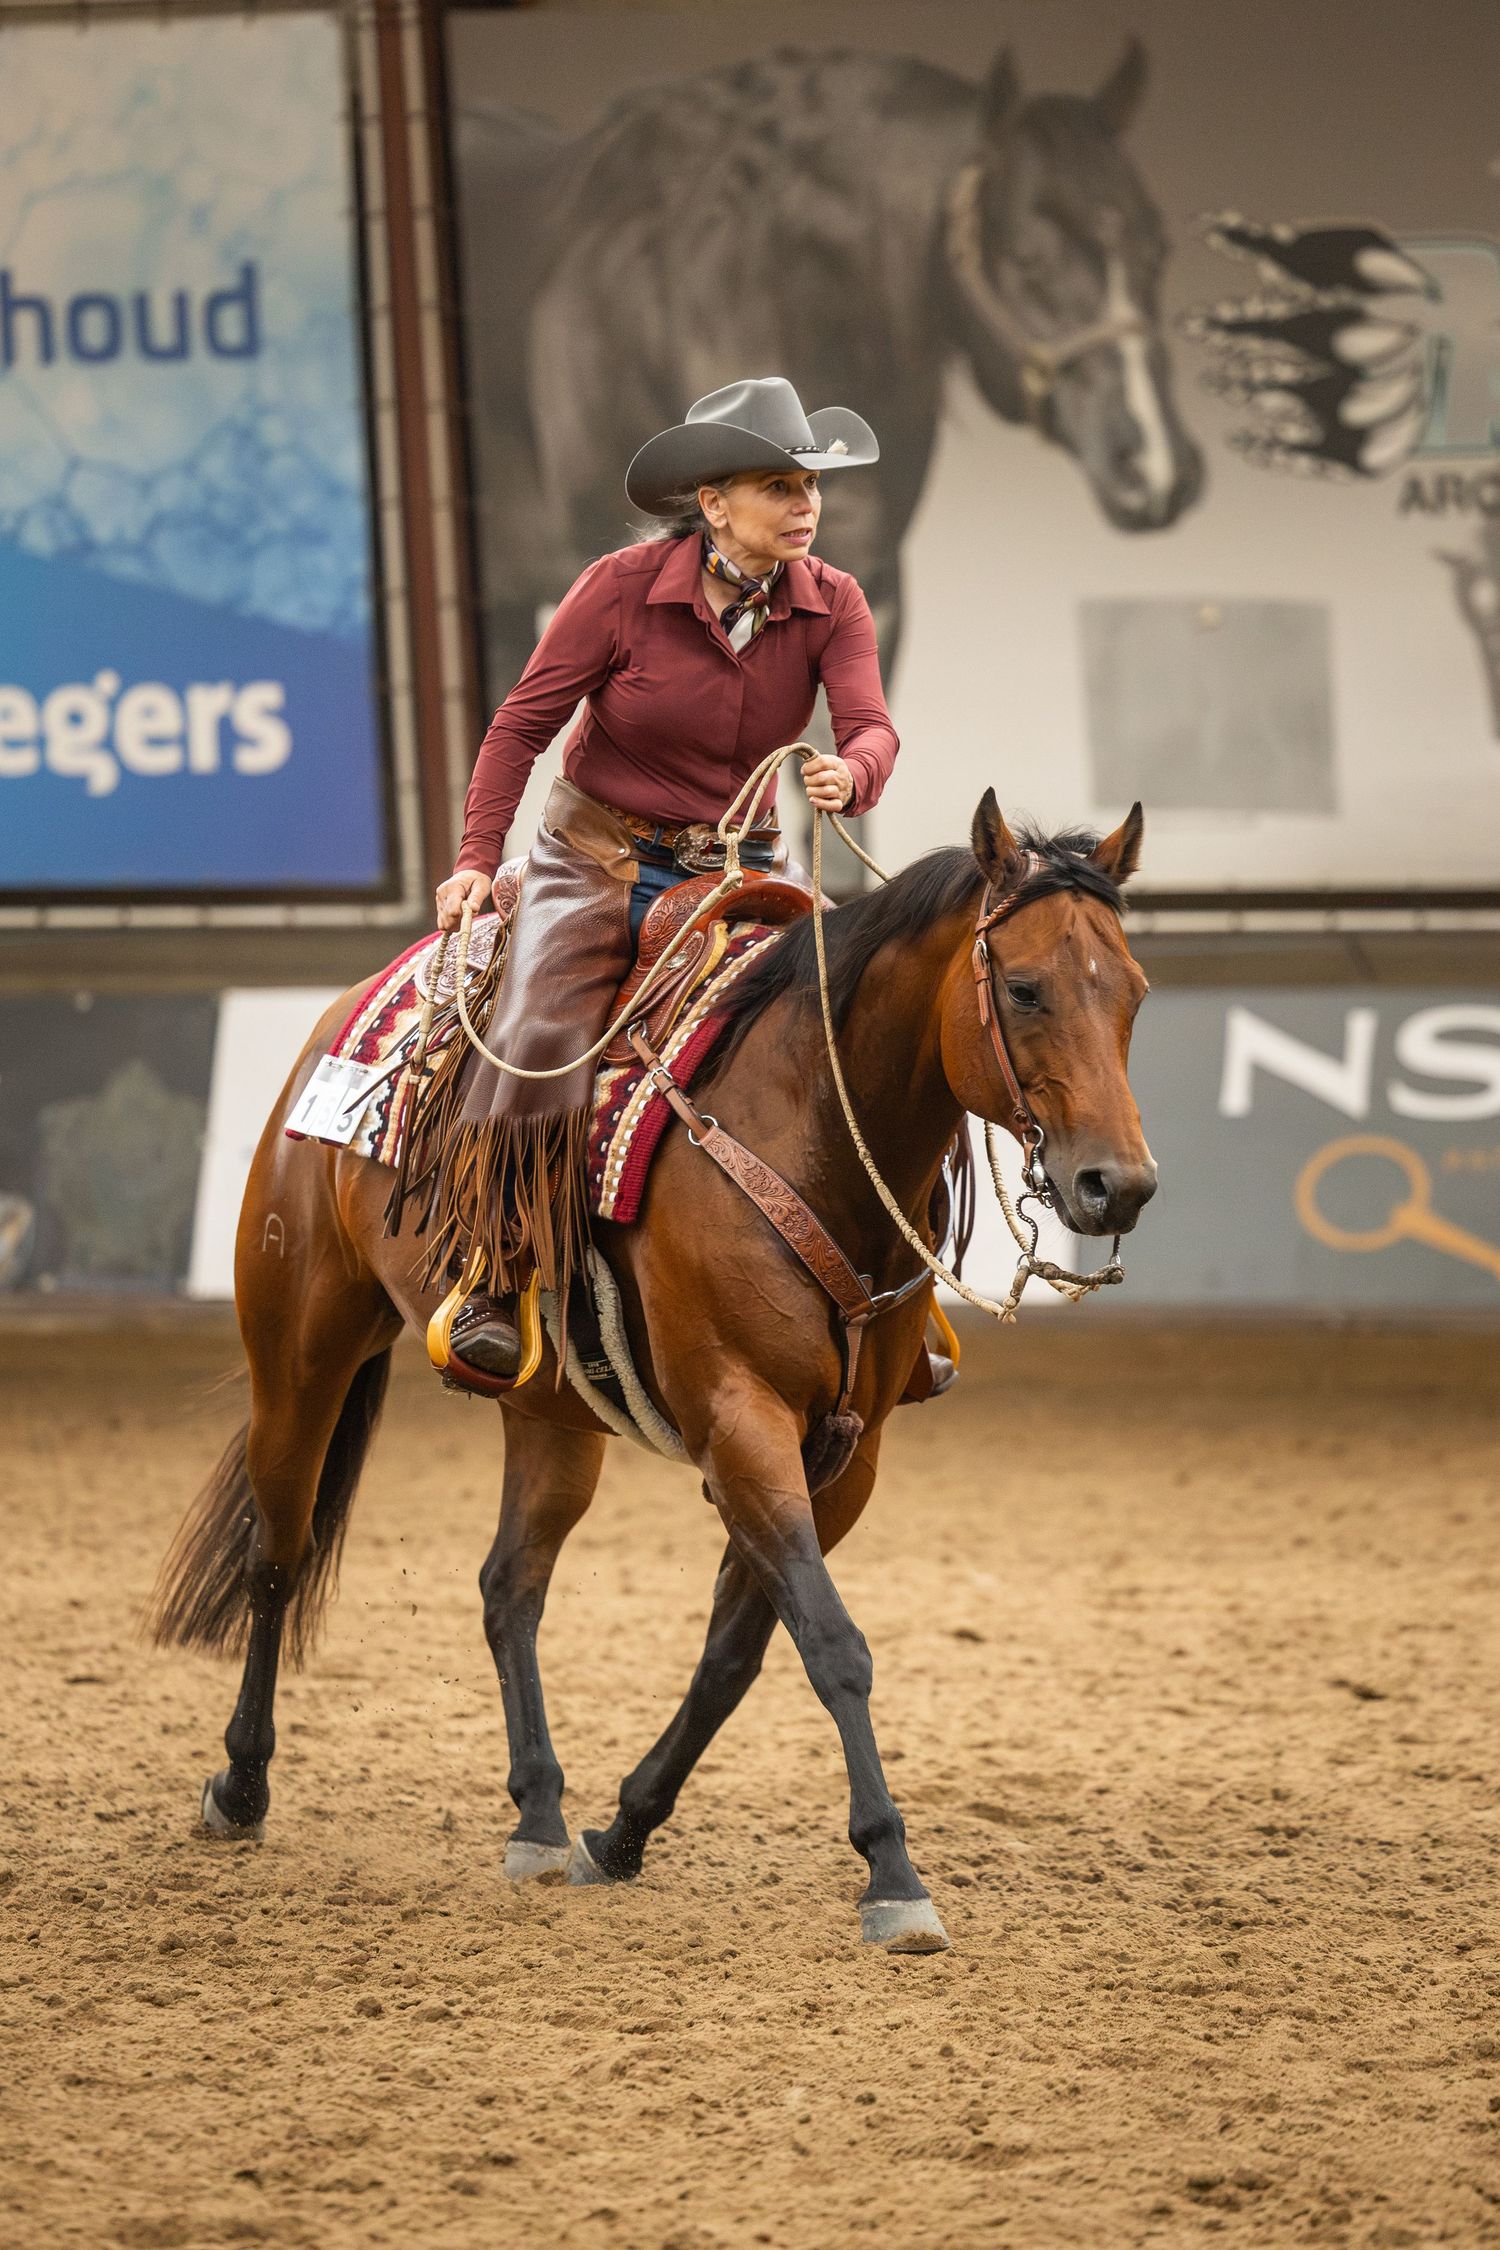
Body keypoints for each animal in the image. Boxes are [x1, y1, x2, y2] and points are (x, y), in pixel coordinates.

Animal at [147, 793, 1156, 1952]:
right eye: (1026, 988)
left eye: (1133, 992)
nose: (1118, 1186)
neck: (807, 1124)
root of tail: (350, 1015)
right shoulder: (740, 1423)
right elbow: (832, 1642)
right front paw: (893, 1873)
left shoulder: (845, 1456)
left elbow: (737, 1653)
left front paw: (623, 1830)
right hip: (300, 1347)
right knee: (279, 1552)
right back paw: (241, 1785)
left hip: (550, 1412)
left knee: (509, 1585)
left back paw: (540, 1813)